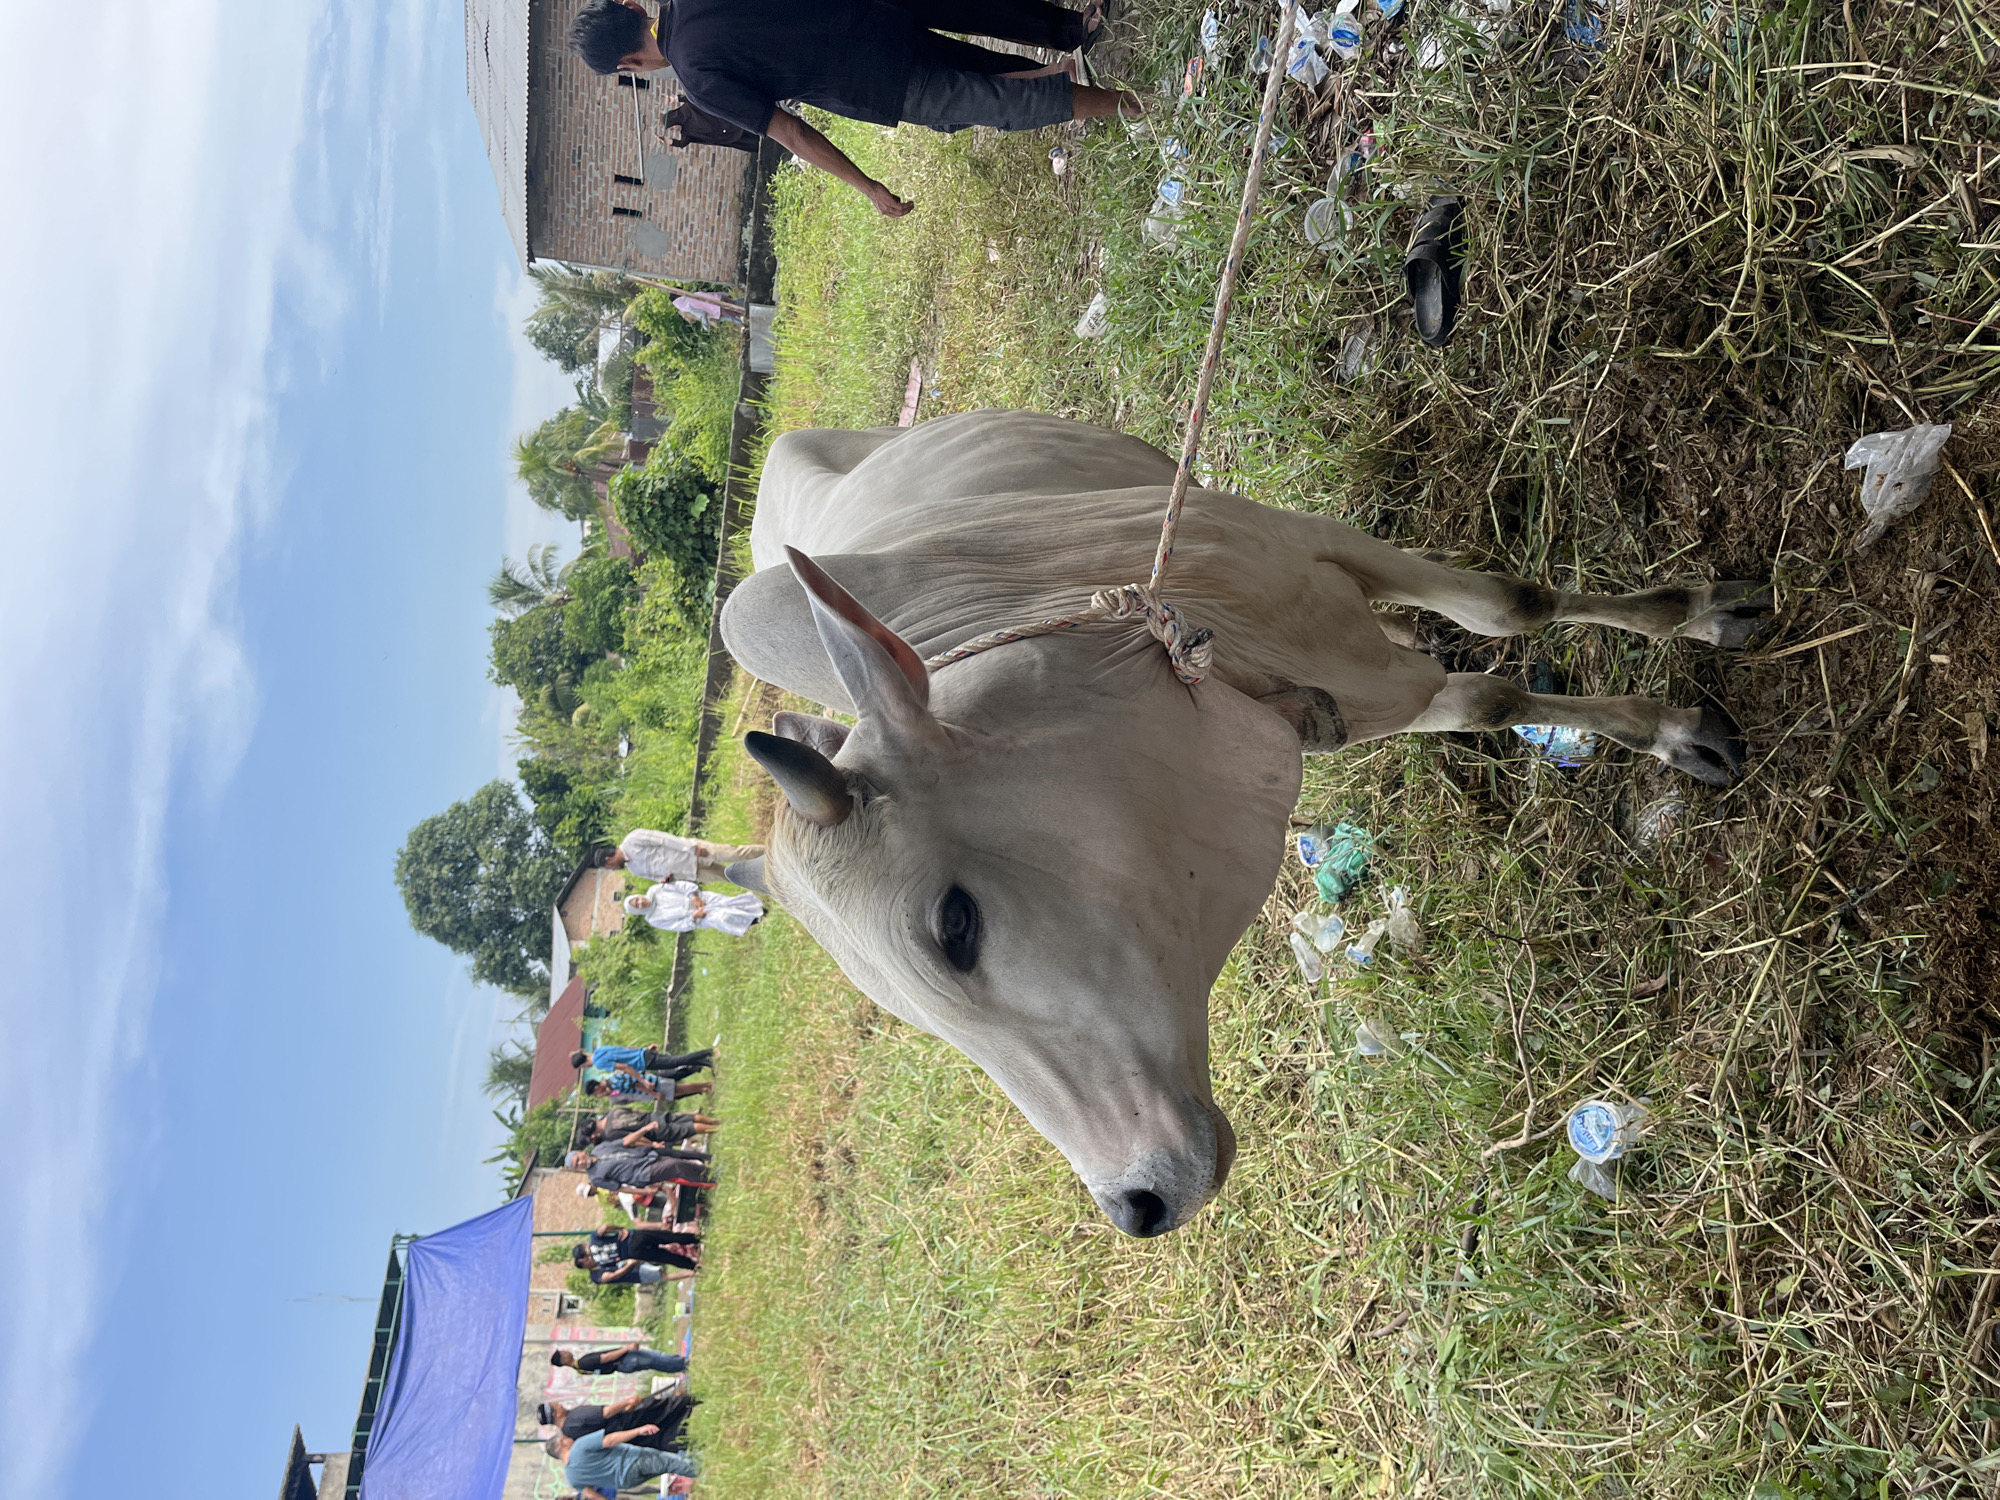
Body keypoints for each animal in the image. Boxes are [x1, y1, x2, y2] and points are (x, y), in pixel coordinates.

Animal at [718, 410, 1766, 1237]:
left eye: (955, 924)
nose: (1137, 1202)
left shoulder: (1303, 542)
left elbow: (1516, 607)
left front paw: (1700, 624)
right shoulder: (1358, 696)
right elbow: (1490, 697)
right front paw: (1668, 724)